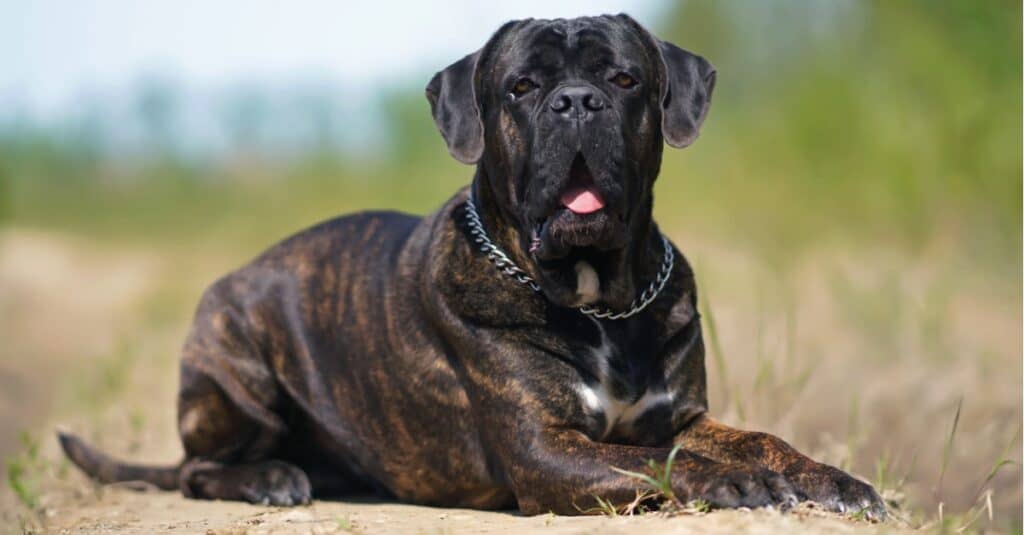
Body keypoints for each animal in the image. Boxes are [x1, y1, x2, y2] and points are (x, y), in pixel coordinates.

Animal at [58, 14, 888, 518]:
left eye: (623, 79)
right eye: (522, 86)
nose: (576, 101)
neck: (599, 301)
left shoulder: (684, 412)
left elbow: (755, 437)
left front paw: (835, 479)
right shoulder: (545, 451)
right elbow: (659, 461)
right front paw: (735, 479)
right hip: (236, 361)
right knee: (196, 469)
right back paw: (270, 476)